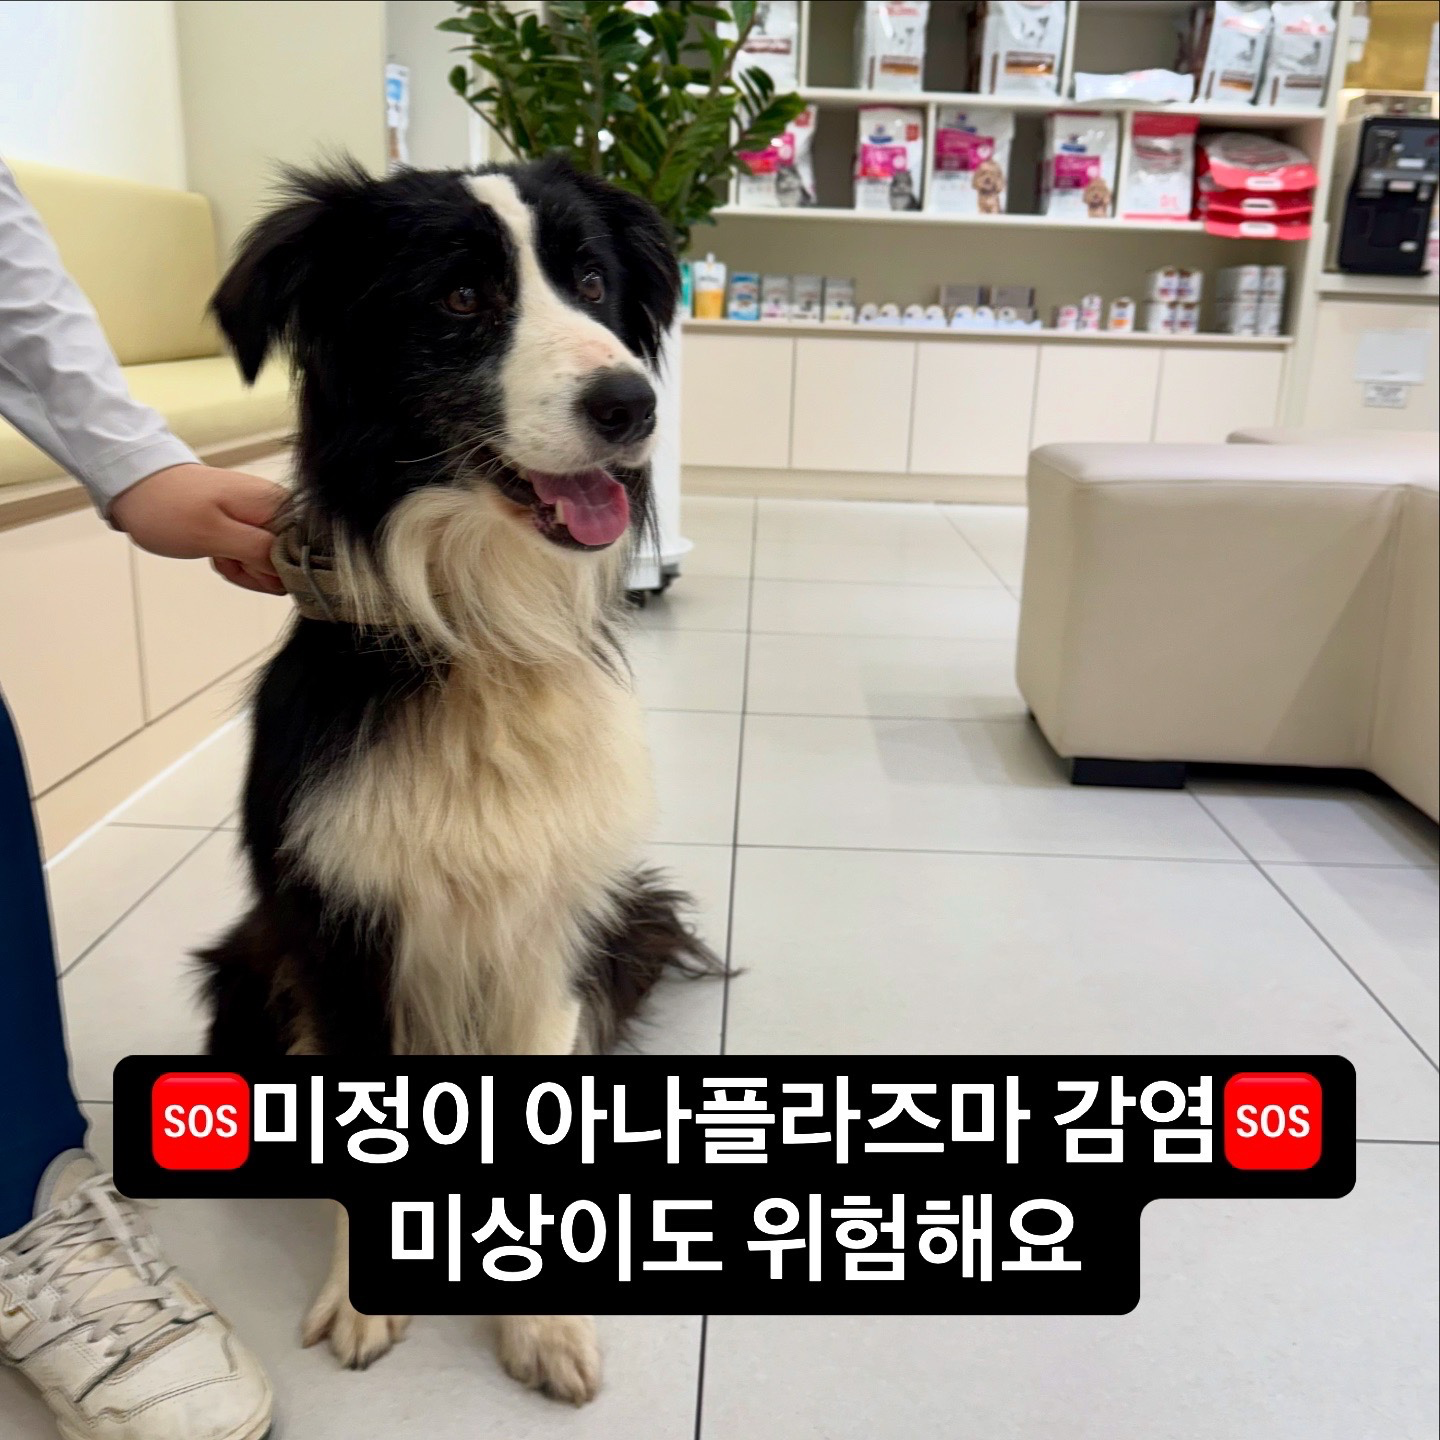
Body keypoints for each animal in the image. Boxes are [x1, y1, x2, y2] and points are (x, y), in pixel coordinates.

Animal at [199, 156, 717, 1404]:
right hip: (247, 966)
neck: (480, 631)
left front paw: (542, 1320)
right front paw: (362, 1298)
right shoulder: (334, 921)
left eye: (591, 282)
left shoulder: (546, 920)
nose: (634, 406)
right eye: (462, 299)